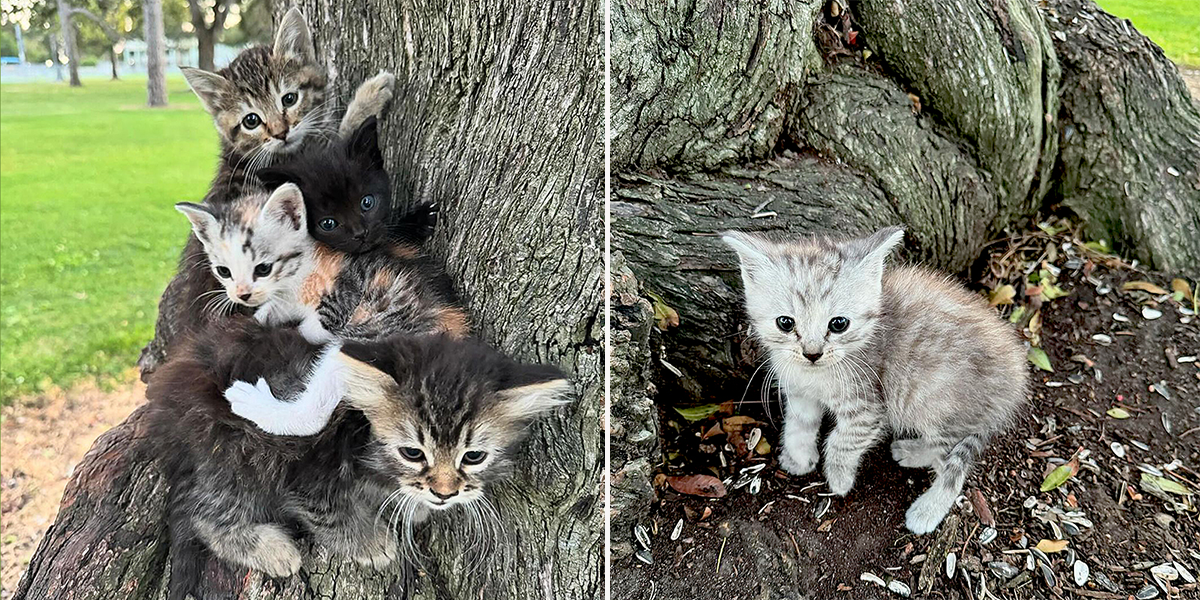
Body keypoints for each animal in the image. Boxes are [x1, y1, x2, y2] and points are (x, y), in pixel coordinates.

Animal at [148, 319, 571, 595]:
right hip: (236, 452)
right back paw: (271, 548)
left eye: (474, 456)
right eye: (412, 452)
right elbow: (328, 511)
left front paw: (413, 505)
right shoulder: (308, 468)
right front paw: (369, 543)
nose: (444, 493)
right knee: (205, 514)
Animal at [175, 181, 465, 343]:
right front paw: (257, 319)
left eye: (263, 268)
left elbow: (312, 328)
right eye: (223, 271)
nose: (242, 295)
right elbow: (269, 311)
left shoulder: (342, 295)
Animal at [720, 226, 1022, 532]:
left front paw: (839, 477)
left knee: (952, 463)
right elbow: (799, 423)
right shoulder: (800, 391)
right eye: (785, 323)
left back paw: (926, 506)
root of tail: (1015, 380)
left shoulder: (868, 406)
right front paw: (799, 456)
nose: (812, 353)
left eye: (838, 324)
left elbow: (842, 441)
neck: (815, 375)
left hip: (928, 399)